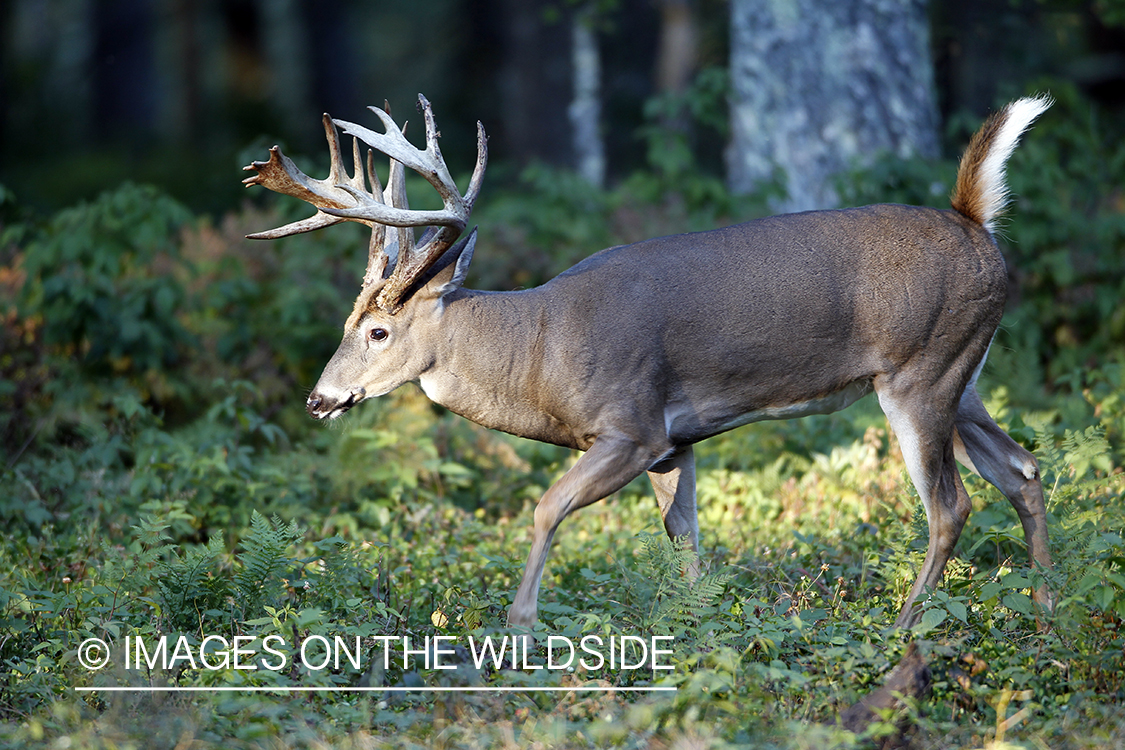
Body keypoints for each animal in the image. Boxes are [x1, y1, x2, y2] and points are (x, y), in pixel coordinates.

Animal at [244, 93, 1053, 634]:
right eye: (347, 323)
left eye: (379, 331)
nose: (319, 399)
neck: (539, 347)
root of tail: (974, 221)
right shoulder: (676, 442)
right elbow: (685, 542)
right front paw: (699, 631)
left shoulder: (633, 425)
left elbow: (545, 507)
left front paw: (518, 626)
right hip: (964, 375)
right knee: (1022, 468)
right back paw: (1048, 613)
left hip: (920, 373)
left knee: (951, 505)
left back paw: (904, 627)